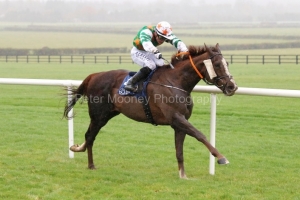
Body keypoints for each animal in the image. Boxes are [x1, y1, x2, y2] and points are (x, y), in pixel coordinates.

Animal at [63, 43, 239, 178]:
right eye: (217, 65)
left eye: (227, 63)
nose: (232, 87)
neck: (176, 82)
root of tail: (93, 76)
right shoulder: (176, 118)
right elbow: (200, 135)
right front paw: (221, 158)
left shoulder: (179, 123)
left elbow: (179, 151)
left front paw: (183, 175)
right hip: (99, 115)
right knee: (90, 136)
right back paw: (90, 164)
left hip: (108, 114)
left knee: (90, 136)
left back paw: (78, 149)